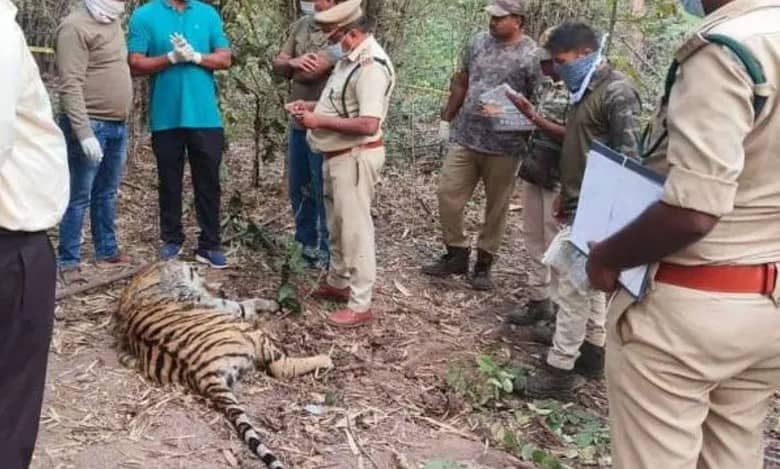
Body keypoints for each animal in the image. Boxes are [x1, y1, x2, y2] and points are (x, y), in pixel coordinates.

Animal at [114, 260, 333, 469]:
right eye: (192, 267)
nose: (203, 267)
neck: (148, 277)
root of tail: (201, 370)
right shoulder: (215, 303)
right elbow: (245, 303)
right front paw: (272, 304)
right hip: (251, 333)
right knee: (281, 368)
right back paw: (326, 358)